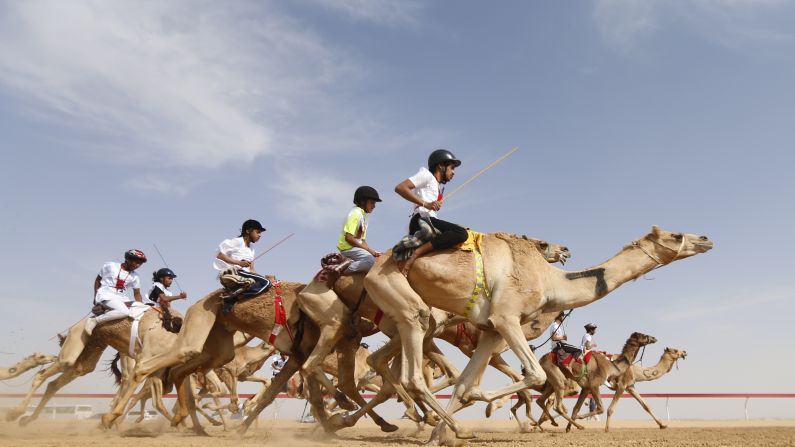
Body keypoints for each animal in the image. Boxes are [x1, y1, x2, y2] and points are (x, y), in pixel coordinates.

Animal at [358, 226, 712, 442]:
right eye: (676, 234)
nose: (706, 239)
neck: (550, 280)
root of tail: (375, 265)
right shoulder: (506, 318)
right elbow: (533, 374)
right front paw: (485, 405)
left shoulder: (491, 330)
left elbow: (465, 382)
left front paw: (439, 435)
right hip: (404, 302)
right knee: (411, 373)